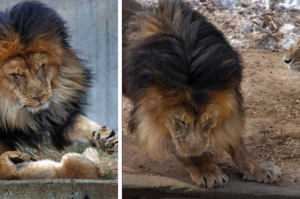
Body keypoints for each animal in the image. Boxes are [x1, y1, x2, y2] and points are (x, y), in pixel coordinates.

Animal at [0, 1, 117, 178]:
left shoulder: (59, 116)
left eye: (41, 67)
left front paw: (103, 137)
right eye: (17, 74)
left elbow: (82, 124)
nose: (39, 97)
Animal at [122, 0, 282, 187]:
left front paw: (259, 168)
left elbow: (236, 142)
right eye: (180, 121)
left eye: (208, 121)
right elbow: (183, 150)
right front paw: (207, 170)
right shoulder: (150, 118)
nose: (195, 151)